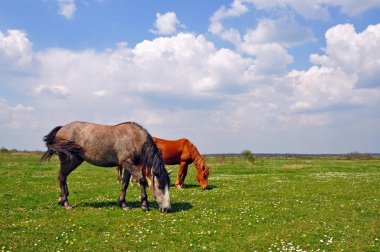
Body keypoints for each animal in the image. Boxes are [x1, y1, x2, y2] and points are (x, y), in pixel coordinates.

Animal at [41, 121, 171, 213]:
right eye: (159, 186)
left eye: (168, 186)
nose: (167, 209)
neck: (134, 138)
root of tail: (62, 127)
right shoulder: (128, 163)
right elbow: (142, 180)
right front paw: (144, 205)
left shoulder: (128, 165)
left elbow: (125, 183)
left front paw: (123, 204)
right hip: (68, 160)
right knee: (62, 177)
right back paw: (66, 203)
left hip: (75, 160)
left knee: (62, 177)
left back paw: (61, 200)